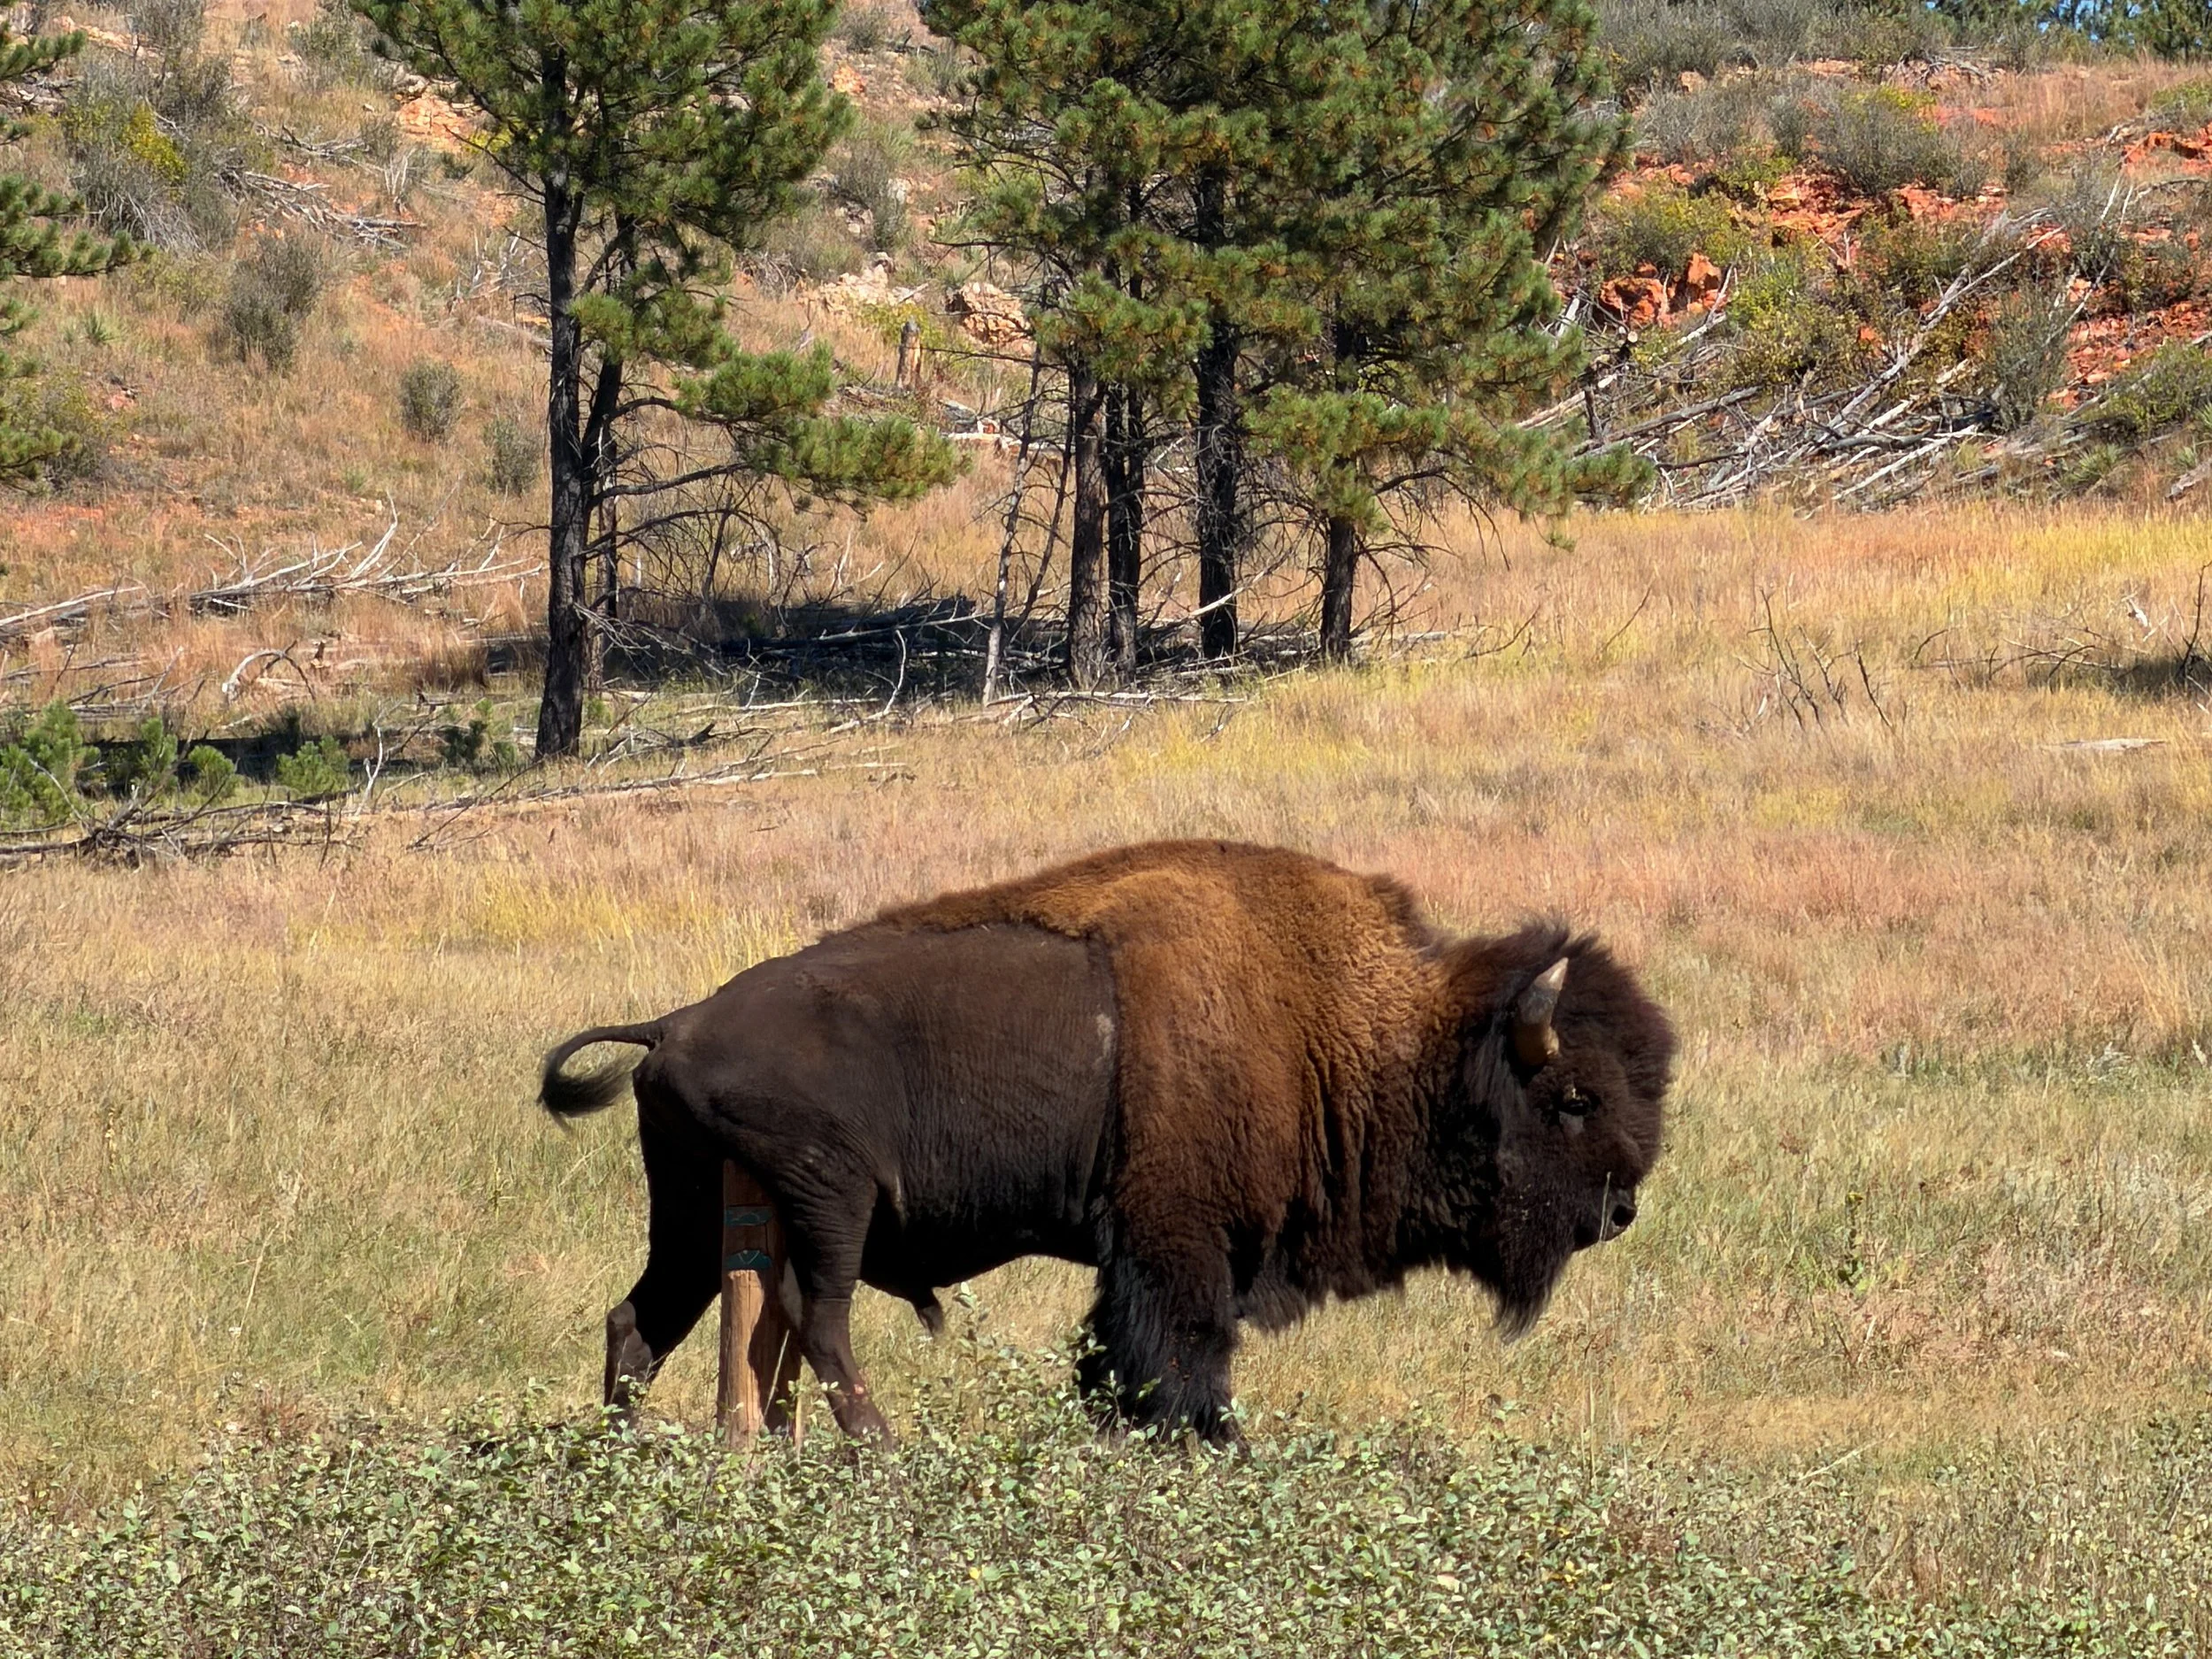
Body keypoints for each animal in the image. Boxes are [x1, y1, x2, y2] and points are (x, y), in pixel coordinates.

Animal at [540, 840, 1675, 1442]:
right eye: (1573, 1097)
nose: (1620, 1211)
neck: (1340, 1027)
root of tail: (673, 1024)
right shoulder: (1175, 1247)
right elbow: (1178, 1362)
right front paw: (1209, 1445)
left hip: (697, 1208)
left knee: (645, 1321)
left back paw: (632, 1457)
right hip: (832, 1200)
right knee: (814, 1319)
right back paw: (878, 1452)